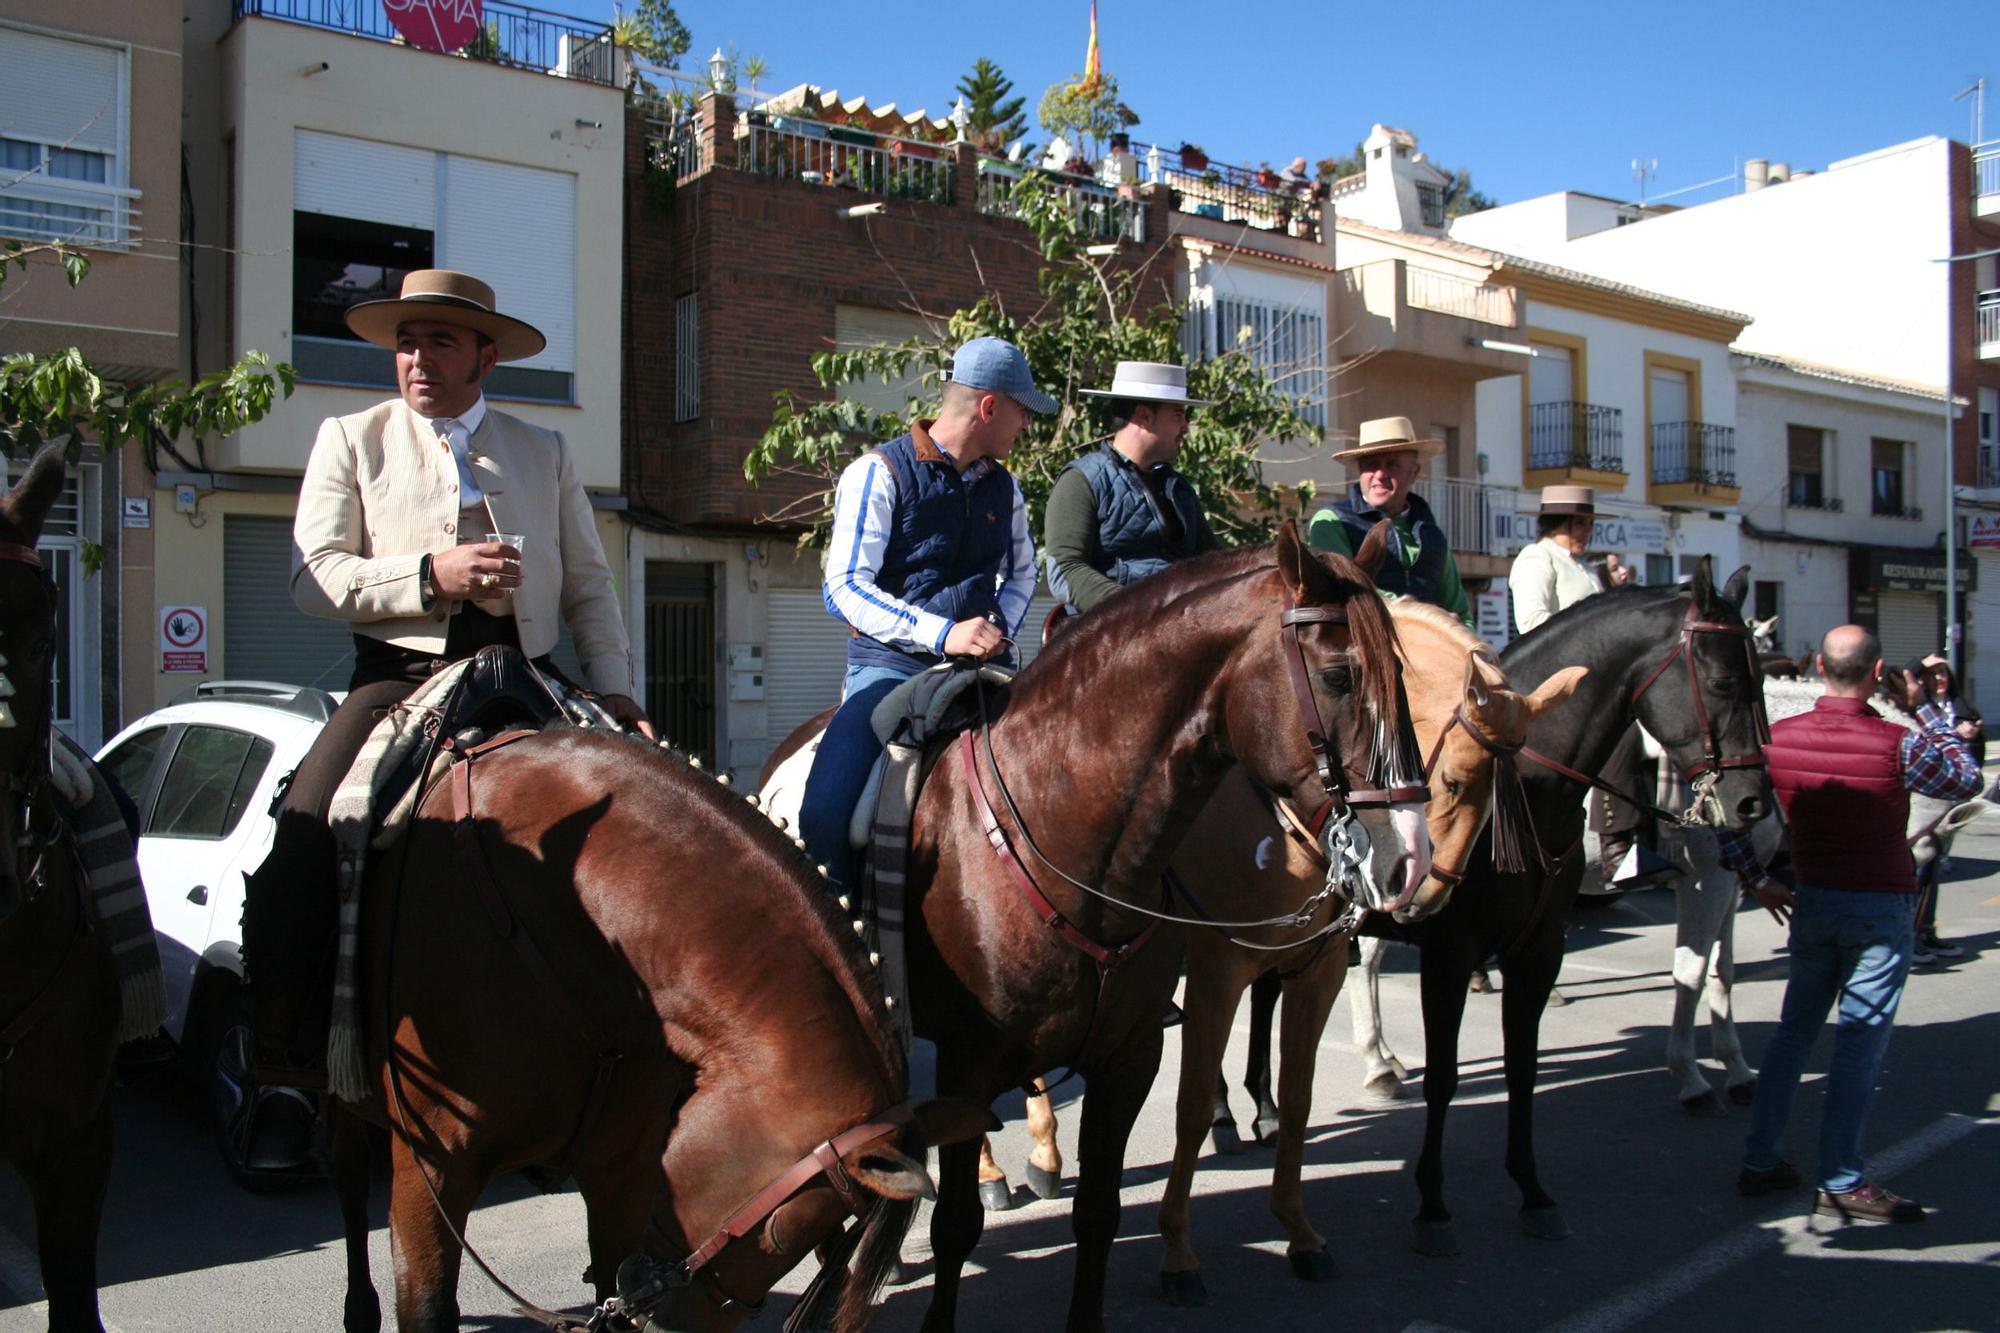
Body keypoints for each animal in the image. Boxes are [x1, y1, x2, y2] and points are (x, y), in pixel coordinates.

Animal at [756, 520, 1432, 1328]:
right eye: (1337, 678)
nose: (1412, 856)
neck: (1066, 825)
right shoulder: (972, 1063)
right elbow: (954, 1225)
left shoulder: (1129, 1055)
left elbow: (1101, 1214)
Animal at [1152, 600, 1584, 1296]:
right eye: (1455, 781)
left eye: (1504, 793)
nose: (1424, 892)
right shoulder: (1220, 964)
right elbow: (1189, 1102)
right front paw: (1178, 1248)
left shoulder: (1321, 962)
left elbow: (1301, 1091)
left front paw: (1297, 1226)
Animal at [1384, 556, 1776, 1248]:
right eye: (1724, 680)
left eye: (1761, 677)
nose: (1753, 800)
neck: (1528, 792)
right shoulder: (1449, 951)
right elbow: (1445, 1076)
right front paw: (1431, 1204)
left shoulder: (1541, 948)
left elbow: (1524, 1066)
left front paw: (1532, 1190)